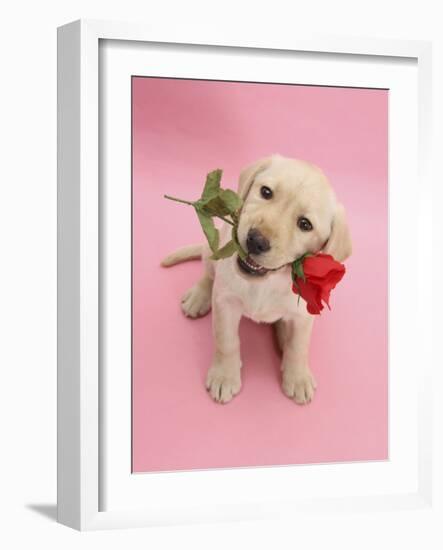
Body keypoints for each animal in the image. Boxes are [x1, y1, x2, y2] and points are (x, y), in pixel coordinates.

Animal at [161, 155, 352, 406]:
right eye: (266, 192)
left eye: (305, 224)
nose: (256, 241)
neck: (265, 282)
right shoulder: (226, 302)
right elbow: (226, 342)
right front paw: (224, 376)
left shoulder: (303, 315)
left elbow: (298, 346)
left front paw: (298, 377)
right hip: (213, 248)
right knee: (209, 273)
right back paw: (199, 296)